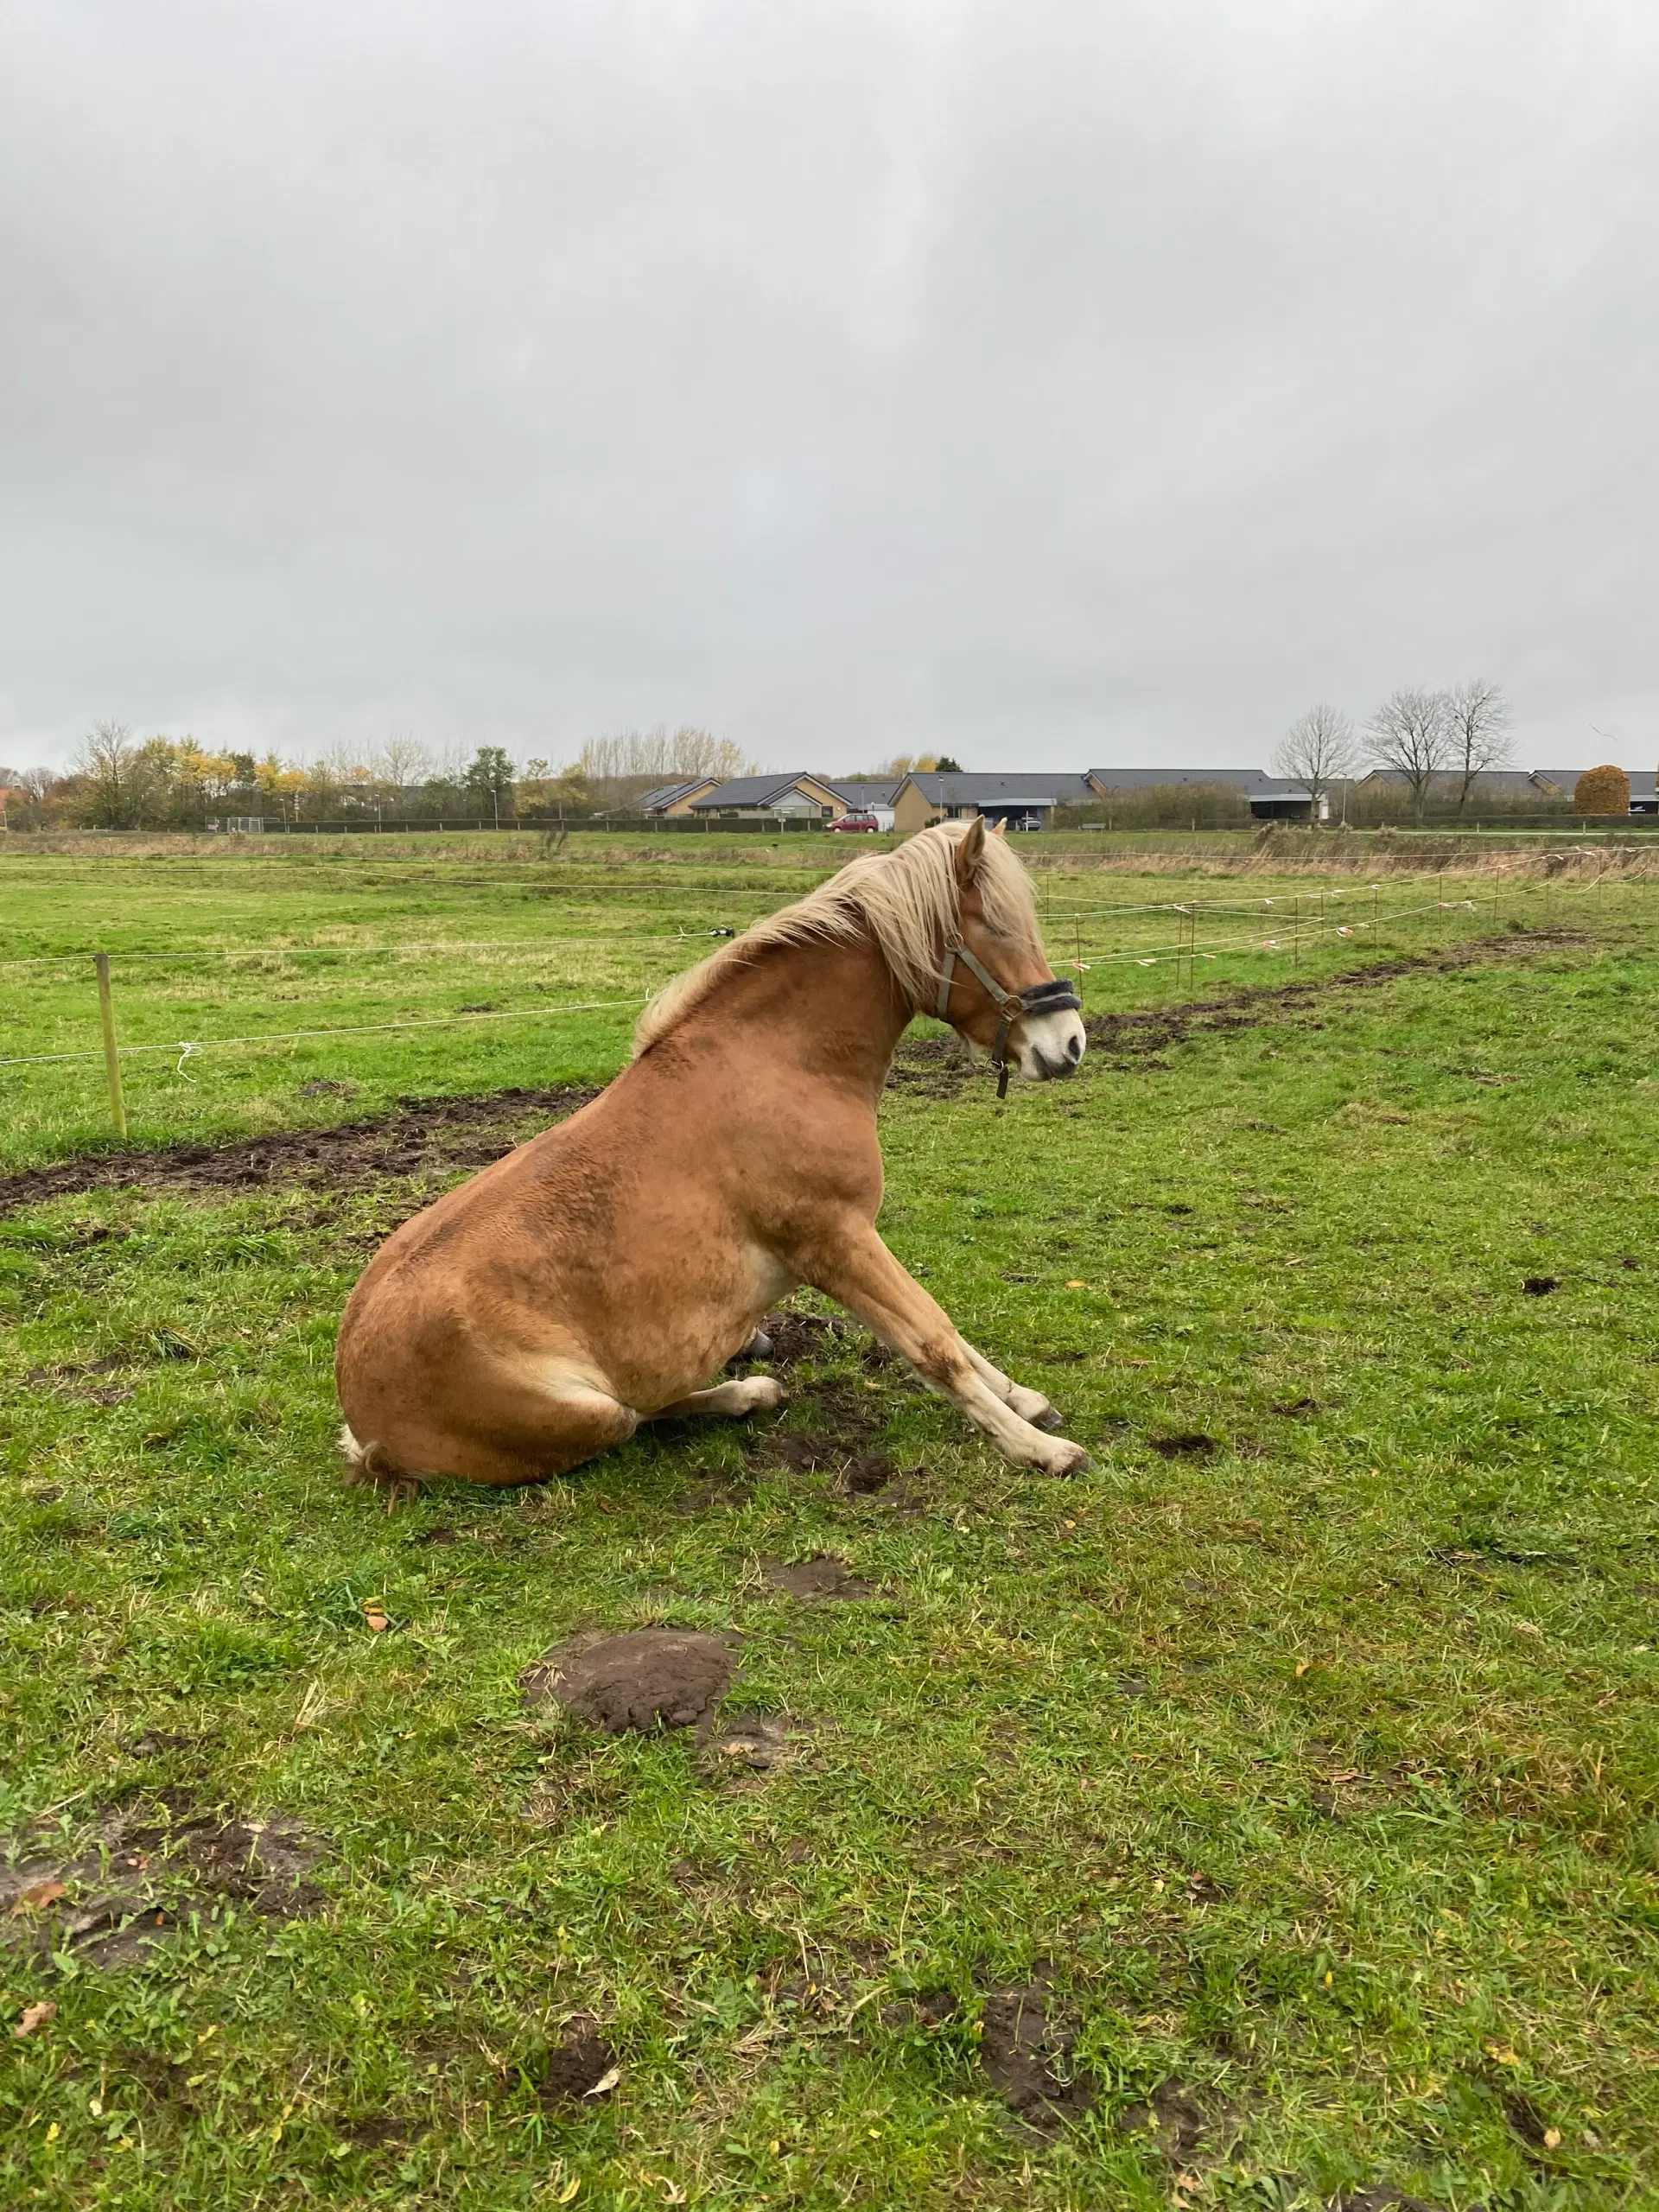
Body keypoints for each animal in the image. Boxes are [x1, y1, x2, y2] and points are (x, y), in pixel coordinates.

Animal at [334, 823, 1092, 1495]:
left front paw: (1023, 1400)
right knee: (640, 1413)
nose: (1070, 1042)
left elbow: (948, 1333)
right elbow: (932, 1341)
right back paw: (747, 1390)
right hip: (591, 1411)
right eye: (995, 929)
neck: (779, 1063)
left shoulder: (846, 1245)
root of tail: (367, 1432)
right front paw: (1037, 1449)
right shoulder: (835, 1241)